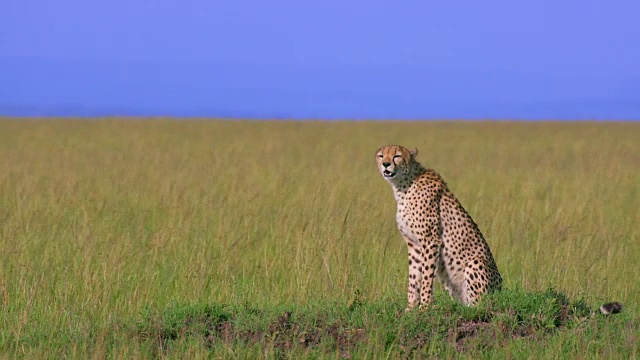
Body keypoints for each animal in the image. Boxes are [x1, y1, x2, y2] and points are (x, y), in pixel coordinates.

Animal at [376, 145, 504, 310]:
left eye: (397, 156)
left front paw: (424, 307)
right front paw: (410, 308)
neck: (403, 185)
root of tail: (501, 290)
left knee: (479, 304)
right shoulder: (414, 245)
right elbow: (413, 277)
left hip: (476, 263)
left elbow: (426, 277)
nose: (386, 164)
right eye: (381, 156)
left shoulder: (430, 241)